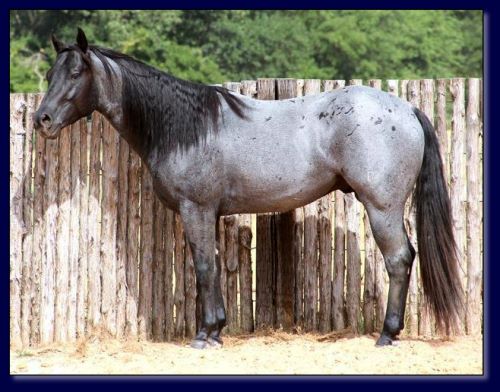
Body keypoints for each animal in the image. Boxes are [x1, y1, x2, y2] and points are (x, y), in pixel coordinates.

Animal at [33, 29, 462, 350]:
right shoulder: (205, 213)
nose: (43, 120)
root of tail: (406, 110)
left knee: (399, 260)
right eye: (51, 71)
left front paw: (205, 334)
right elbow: (209, 265)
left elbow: (204, 267)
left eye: (76, 73)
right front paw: (216, 329)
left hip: (381, 207)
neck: (186, 129)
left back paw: (387, 334)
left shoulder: (196, 208)